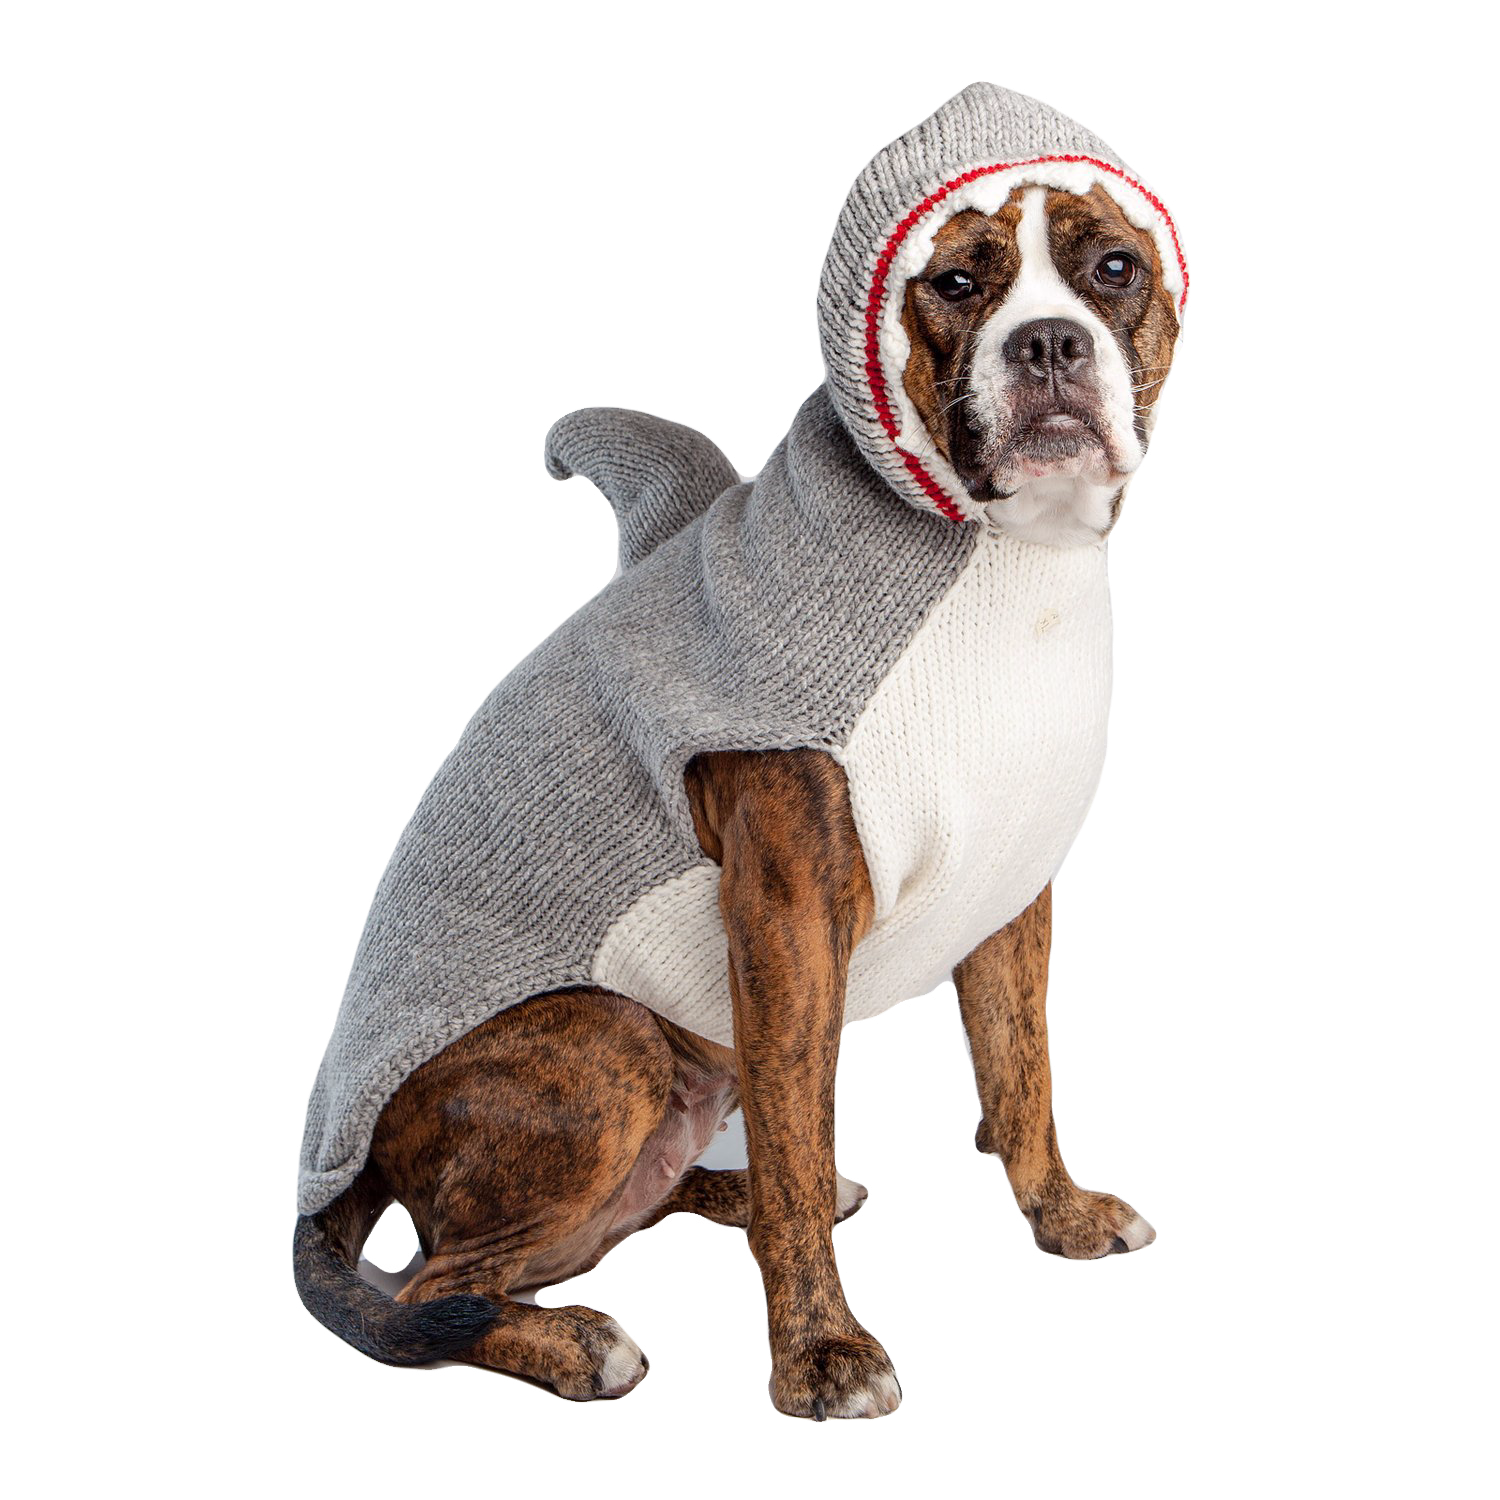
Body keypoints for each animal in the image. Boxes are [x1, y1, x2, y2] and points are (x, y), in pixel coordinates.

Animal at [293, 86, 1187, 1419]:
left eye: (1115, 269)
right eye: (955, 283)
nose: (1046, 345)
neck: (990, 563)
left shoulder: (1010, 891)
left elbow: (1020, 1069)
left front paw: (1060, 1215)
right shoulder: (788, 918)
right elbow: (802, 1145)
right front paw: (820, 1354)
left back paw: (710, 1198)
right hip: (606, 1048)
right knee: (425, 1292)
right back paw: (578, 1344)